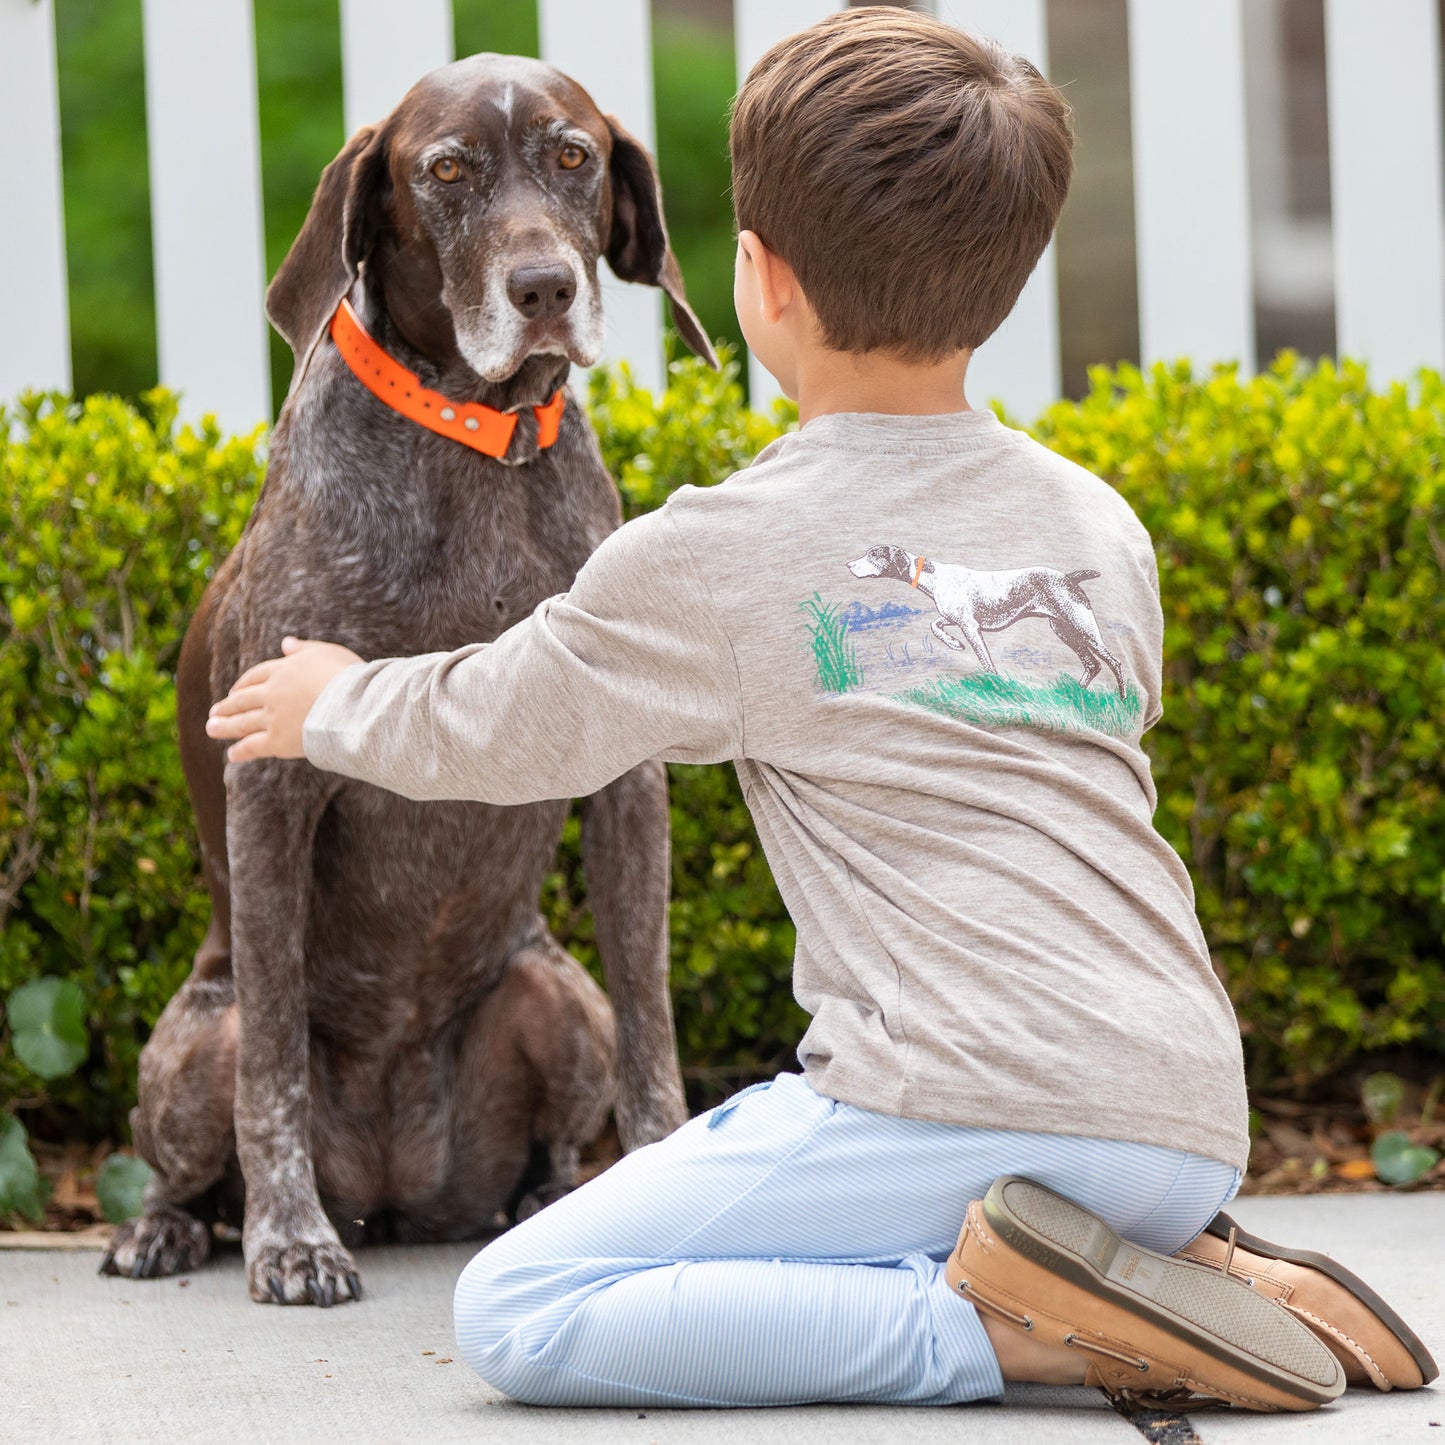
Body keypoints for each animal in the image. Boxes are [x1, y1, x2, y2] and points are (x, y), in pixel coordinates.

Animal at [97, 53, 716, 1312]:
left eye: (573, 156)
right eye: (446, 172)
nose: (542, 287)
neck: (473, 441)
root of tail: (395, 1193)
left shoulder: (628, 787)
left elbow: (654, 1025)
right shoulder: (273, 785)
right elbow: (274, 1066)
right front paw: (290, 1240)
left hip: (552, 998)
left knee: (553, 1123)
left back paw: (541, 1203)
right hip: (191, 1041)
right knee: (193, 1151)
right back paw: (168, 1230)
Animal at [843, 543, 1127, 696]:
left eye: (873, 555)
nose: (848, 565)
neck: (934, 577)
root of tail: (1069, 577)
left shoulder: (971, 627)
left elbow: (986, 662)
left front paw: (995, 685)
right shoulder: (953, 619)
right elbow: (934, 625)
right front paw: (954, 644)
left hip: (1084, 628)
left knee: (1114, 663)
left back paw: (1122, 698)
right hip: (1064, 630)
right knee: (1093, 665)